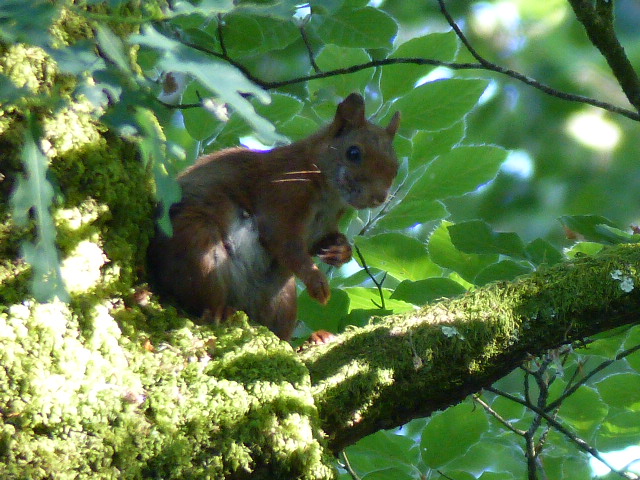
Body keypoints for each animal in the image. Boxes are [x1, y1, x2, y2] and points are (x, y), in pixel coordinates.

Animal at [149, 94, 400, 342]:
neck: (328, 195)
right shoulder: (280, 195)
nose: (378, 197)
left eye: (396, 168)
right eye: (353, 153)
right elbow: (283, 241)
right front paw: (316, 281)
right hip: (195, 244)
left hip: (283, 299)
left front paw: (341, 250)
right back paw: (219, 312)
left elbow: (319, 243)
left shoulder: (323, 225)